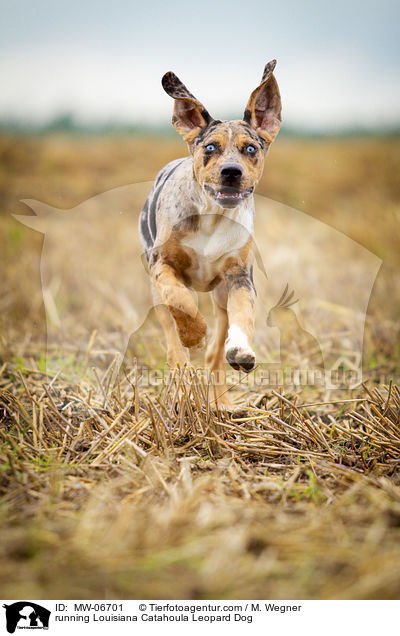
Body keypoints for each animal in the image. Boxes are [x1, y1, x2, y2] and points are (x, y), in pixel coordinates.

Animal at [139, 60, 282, 408]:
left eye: (250, 149)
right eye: (210, 147)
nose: (231, 172)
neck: (213, 219)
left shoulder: (240, 276)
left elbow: (244, 315)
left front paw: (241, 350)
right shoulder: (162, 265)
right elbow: (179, 300)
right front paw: (194, 333)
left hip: (219, 299)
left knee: (215, 356)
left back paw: (221, 404)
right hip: (156, 295)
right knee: (174, 348)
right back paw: (181, 390)